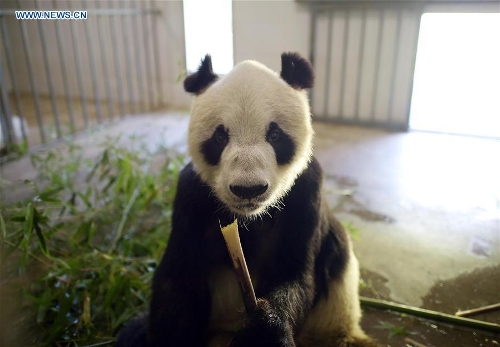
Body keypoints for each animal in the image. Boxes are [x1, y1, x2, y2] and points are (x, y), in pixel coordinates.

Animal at [117, 52, 376, 347]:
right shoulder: (191, 198)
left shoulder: (307, 193)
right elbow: (179, 281)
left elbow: (296, 274)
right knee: (132, 334)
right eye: (220, 136)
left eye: (274, 135)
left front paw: (265, 328)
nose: (248, 189)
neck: (248, 218)